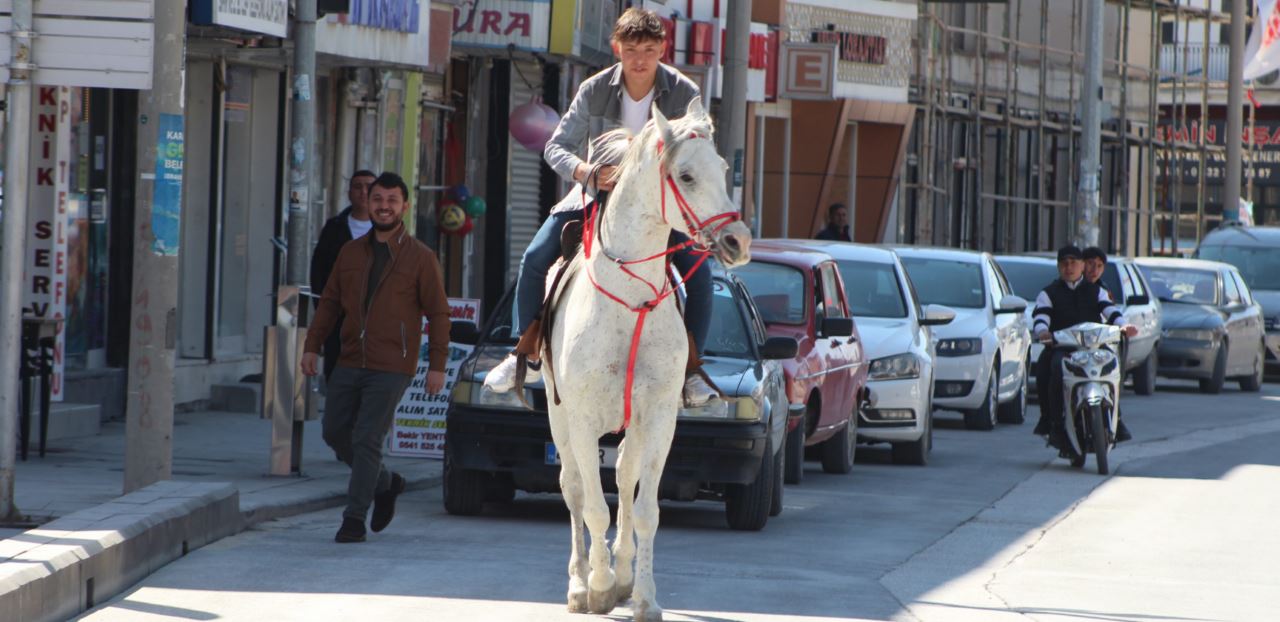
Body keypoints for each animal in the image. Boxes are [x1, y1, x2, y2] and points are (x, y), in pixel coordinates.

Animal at [540, 99, 747, 619]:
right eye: (686, 175)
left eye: (724, 169)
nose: (739, 242)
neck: (630, 303)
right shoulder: (581, 420)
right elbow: (594, 506)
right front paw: (596, 587)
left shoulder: (657, 418)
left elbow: (646, 510)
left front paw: (643, 595)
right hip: (558, 416)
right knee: (574, 488)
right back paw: (580, 584)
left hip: (630, 425)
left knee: (624, 477)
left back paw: (624, 576)